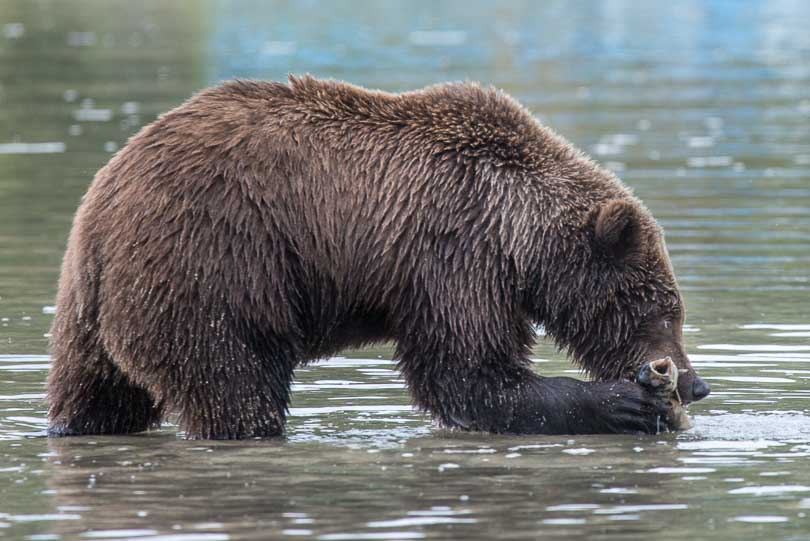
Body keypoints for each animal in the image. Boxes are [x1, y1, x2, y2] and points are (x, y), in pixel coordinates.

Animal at [49, 75, 708, 438]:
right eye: (662, 308)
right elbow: (470, 373)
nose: (694, 383)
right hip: (214, 269)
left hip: (93, 316)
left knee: (97, 397)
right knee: (234, 385)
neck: (518, 233)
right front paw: (625, 403)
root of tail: (101, 212)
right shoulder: (454, 250)